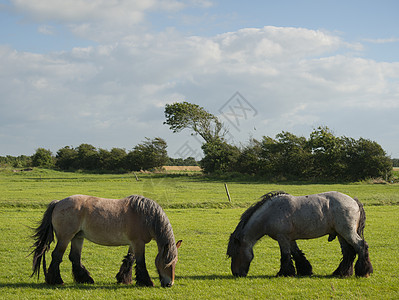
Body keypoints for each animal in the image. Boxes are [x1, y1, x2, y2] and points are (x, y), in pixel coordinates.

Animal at [30, 195, 183, 288]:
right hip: (65, 238)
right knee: (57, 256)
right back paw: (56, 280)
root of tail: (58, 203)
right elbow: (140, 262)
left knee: (74, 257)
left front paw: (123, 279)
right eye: (167, 262)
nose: (169, 284)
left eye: (175, 262)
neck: (146, 216)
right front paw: (146, 282)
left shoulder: (133, 244)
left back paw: (85, 279)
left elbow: (129, 260)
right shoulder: (138, 243)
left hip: (77, 238)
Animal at [228, 191, 376, 278]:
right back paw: (341, 273)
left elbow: (285, 256)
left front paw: (283, 273)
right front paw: (305, 271)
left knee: (361, 246)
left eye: (235, 253)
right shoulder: (290, 239)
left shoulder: (282, 238)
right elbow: (297, 255)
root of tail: (354, 201)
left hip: (348, 232)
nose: (236, 274)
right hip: (341, 234)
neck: (270, 213)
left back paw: (364, 271)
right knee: (348, 253)